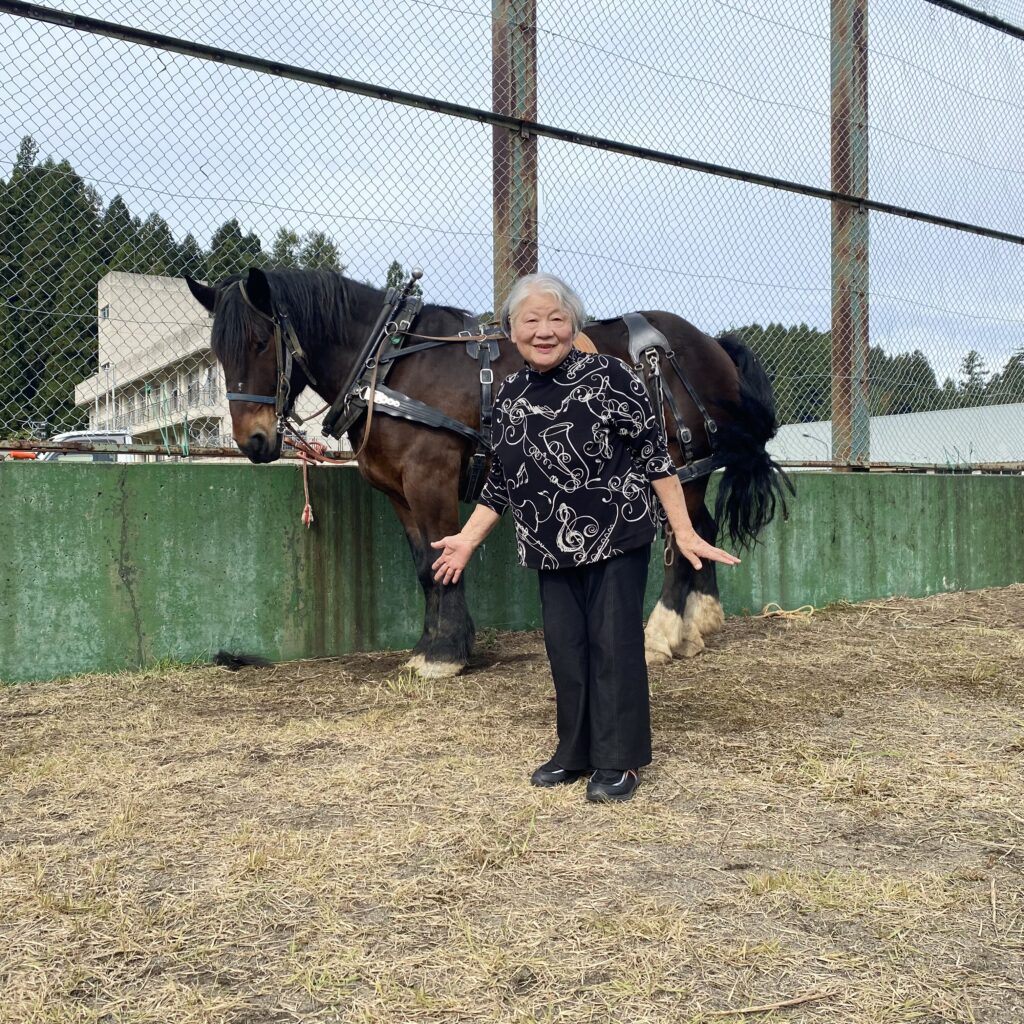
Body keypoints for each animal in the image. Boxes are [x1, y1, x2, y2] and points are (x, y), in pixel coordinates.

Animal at [186, 268, 790, 675]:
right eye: (216, 351)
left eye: (260, 342)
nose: (253, 441)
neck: (391, 360)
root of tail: (712, 344)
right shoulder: (399, 492)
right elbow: (424, 567)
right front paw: (432, 646)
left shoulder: (429, 478)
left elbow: (443, 559)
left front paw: (445, 652)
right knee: (700, 532)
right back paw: (699, 626)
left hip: (678, 462)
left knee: (682, 541)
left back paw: (662, 634)